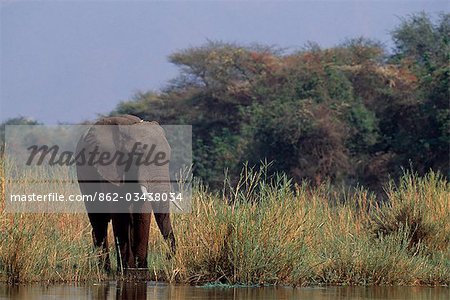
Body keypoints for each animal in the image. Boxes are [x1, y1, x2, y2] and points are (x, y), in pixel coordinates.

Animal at [75, 115, 176, 272]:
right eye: (138, 155)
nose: (168, 258)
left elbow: (142, 214)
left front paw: (141, 272)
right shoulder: (111, 168)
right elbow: (120, 213)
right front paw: (126, 272)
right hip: (84, 177)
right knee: (99, 221)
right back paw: (105, 270)